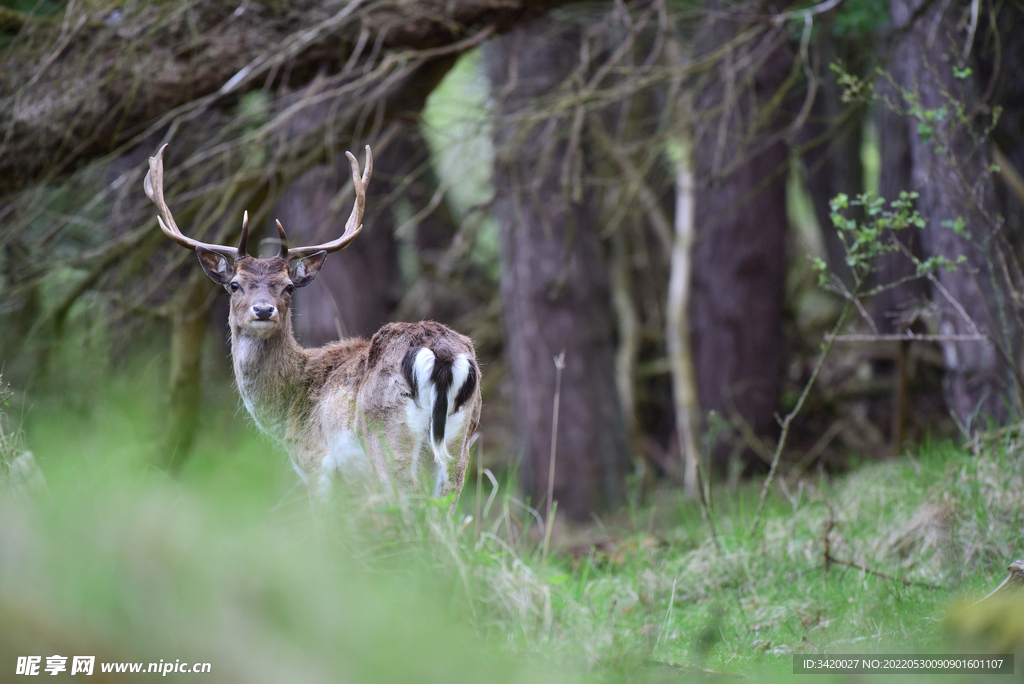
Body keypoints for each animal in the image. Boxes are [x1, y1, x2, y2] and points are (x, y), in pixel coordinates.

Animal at [142, 144, 481, 505]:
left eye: (288, 286)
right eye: (235, 284)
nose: (264, 310)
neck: (290, 406)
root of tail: (442, 354)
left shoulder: (315, 460)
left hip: (387, 436)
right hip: (460, 442)